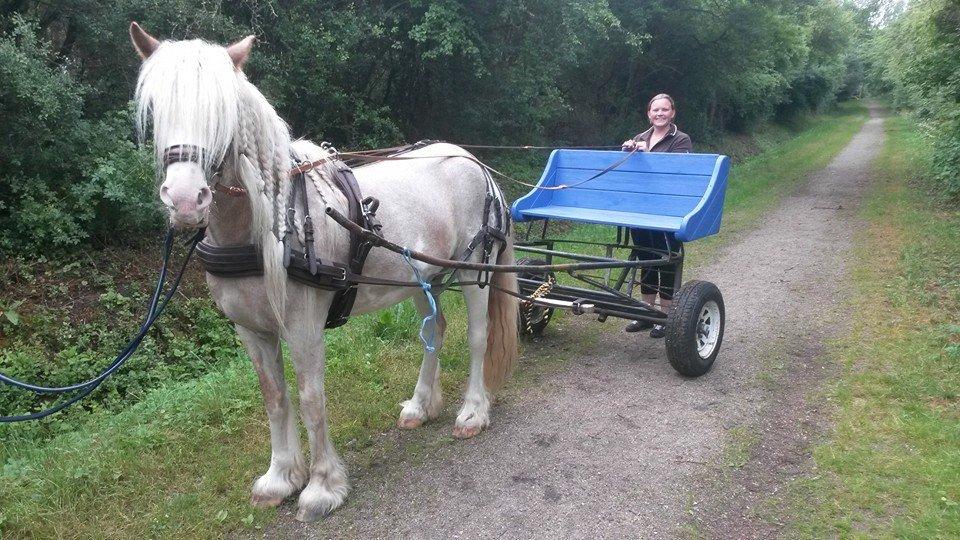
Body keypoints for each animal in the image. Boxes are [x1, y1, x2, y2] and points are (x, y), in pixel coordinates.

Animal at [129, 23, 516, 520]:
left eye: (223, 111)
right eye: (158, 107)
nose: (183, 200)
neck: (263, 228)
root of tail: (472, 160)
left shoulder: (304, 325)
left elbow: (311, 399)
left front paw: (322, 486)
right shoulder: (251, 329)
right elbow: (274, 398)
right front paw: (280, 477)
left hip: (474, 270)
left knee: (477, 336)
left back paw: (473, 411)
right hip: (419, 276)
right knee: (435, 330)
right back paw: (420, 406)